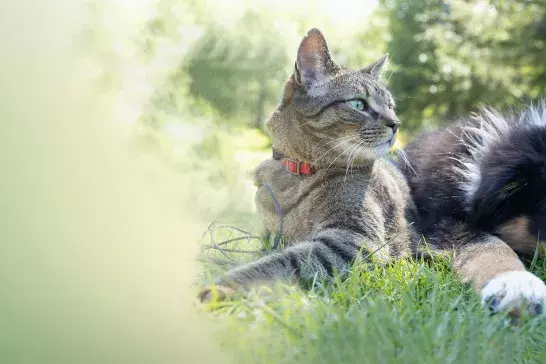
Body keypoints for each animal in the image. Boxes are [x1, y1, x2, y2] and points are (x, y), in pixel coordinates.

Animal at [198, 27, 414, 302]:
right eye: (358, 104)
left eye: (391, 106)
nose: (396, 123)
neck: (296, 175)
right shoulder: (268, 237)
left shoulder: (353, 239)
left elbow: (277, 264)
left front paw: (222, 287)